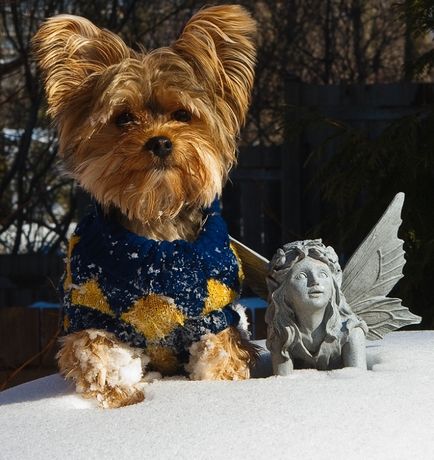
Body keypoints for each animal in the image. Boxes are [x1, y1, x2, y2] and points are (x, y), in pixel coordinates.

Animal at [34, 4, 258, 406]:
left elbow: (220, 352)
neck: (156, 221)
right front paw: (124, 398)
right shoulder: (93, 311)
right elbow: (99, 355)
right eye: (123, 117)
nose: (160, 141)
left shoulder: (214, 313)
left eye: (182, 114)